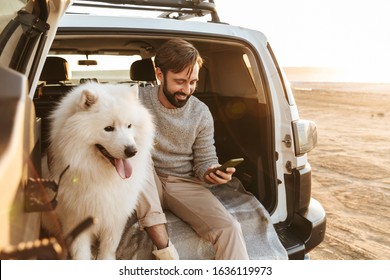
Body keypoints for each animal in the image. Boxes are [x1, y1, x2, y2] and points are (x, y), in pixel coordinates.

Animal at [41, 82, 154, 260]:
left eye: (129, 126)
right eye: (108, 128)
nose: (132, 151)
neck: (100, 175)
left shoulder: (115, 216)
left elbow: (109, 247)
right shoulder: (76, 219)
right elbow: (81, 253)